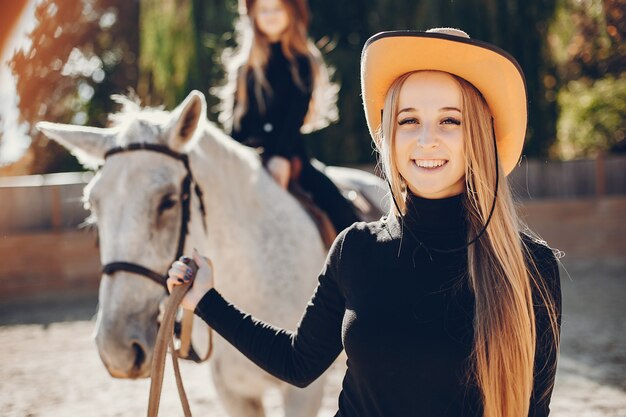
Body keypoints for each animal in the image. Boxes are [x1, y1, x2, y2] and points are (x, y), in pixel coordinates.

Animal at [36, 91, 388, 416]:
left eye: (167, 201)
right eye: (92, 203)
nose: (118, 350)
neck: (252, 278)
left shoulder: (303, 394)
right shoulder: (234, 393)